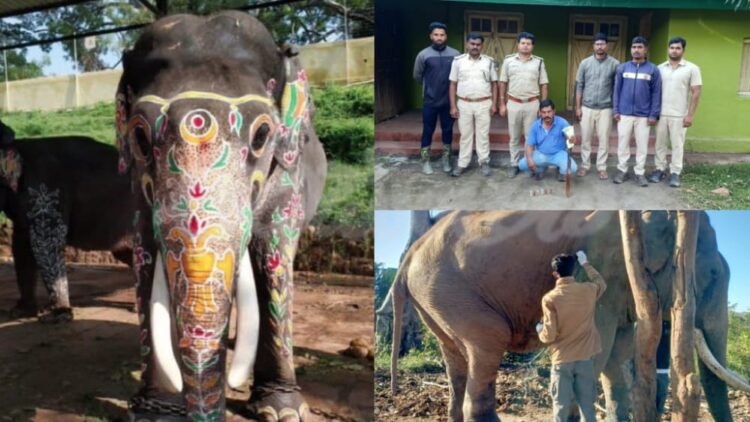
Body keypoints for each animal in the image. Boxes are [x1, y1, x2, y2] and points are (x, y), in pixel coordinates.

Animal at [116, 10, 328, 422]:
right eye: (140, 137)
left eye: (263, 134)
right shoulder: (135, 181)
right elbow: (145, 256)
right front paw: (155, 413)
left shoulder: (287, 170)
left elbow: (272, 253)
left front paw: (282, 411)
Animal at [388, 211, 748, 422]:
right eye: (714, 274)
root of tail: (410, 256)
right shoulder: (607, 269)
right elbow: (598, 353)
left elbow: (615, 361)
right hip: (447, 289)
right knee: (488, 341)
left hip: (435, 297)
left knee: (455, 359)